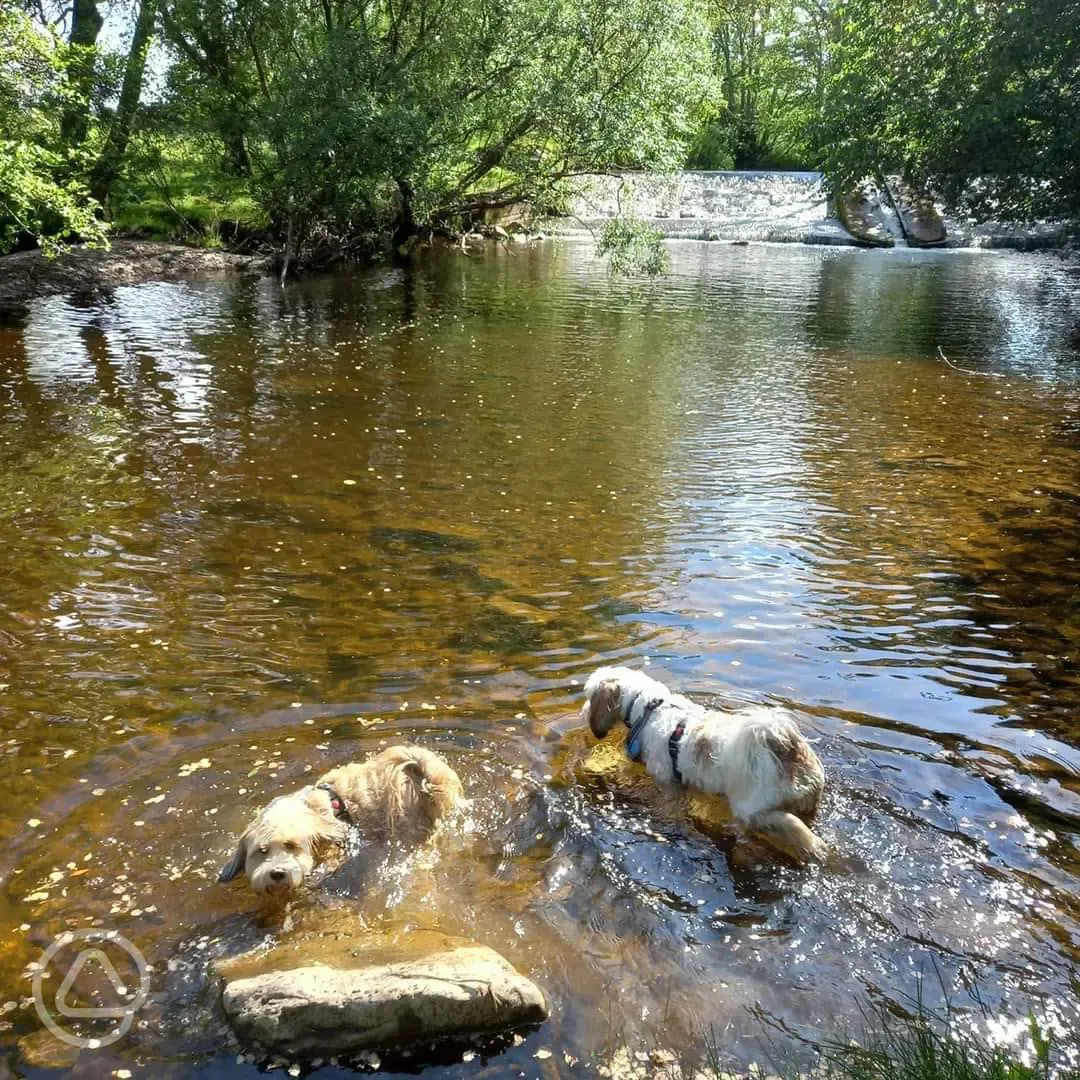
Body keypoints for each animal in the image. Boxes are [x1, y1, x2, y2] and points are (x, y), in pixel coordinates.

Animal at [583, 665, 825, 859]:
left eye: (590, 695)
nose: (584, 711)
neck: (649, 709)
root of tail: (784, 748)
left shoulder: (667, 782)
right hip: (808, 801)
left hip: (755, 812)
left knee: (790, 827)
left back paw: (813, 848)